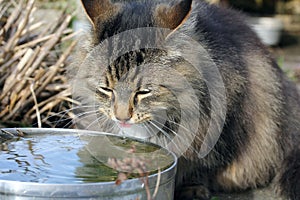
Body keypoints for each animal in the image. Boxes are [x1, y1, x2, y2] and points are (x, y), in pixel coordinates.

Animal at [71, 0, 300, 199]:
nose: (121, 118)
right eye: (106, 89)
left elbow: (202, 165)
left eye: (144, 91)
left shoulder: (220, 129)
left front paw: (193, 188)